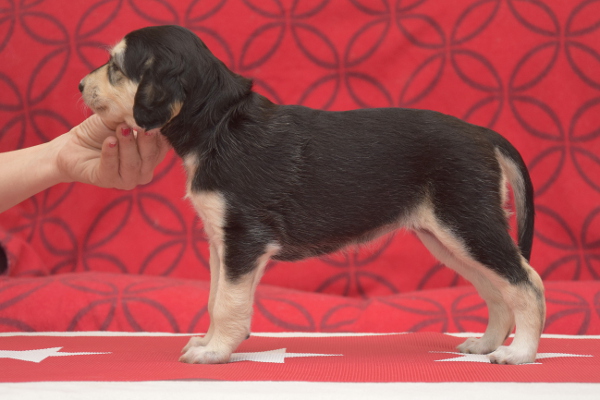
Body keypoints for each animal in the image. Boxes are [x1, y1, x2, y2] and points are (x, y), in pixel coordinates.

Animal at [79, 25, 545, 365]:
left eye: (116, 66)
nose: (80, 84)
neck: (219, 123)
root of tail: (483, 133)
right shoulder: (222, 243)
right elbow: (215, 299)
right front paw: (208, 343)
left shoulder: (243, 239)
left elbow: (227, 303)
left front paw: (215, 352)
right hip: (448, 239)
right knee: (497, 291)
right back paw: (486, 345)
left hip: (467, 225)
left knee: (527, 282)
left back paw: (520, 353)